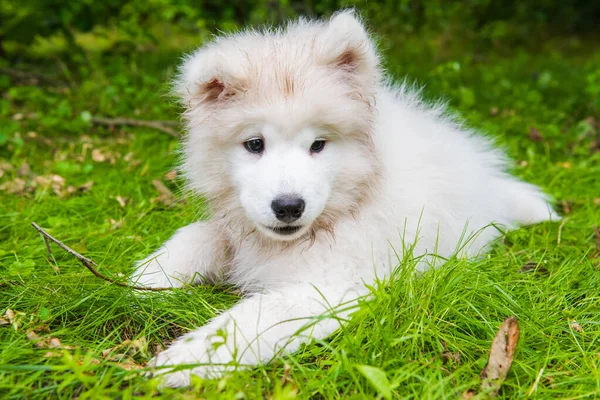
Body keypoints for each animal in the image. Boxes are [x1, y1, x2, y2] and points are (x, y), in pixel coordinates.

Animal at [132, 10, 556, 388]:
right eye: (254, 144)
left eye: (318, 145)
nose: (289, 207)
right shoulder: (237, 228)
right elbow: (197, 234)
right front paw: (146, 278)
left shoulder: (329, 284)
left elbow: (249, 321)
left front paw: (184, 360)